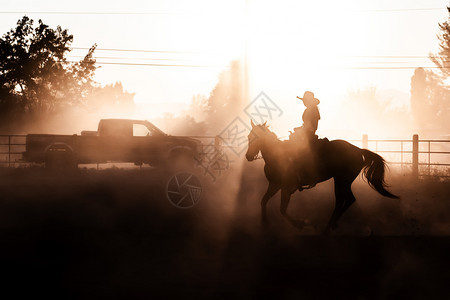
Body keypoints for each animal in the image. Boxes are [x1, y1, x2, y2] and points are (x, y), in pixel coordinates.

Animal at [246, 122, 398, 234]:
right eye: (249, 136)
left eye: (257, 137)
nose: (248, 156)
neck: (276, 155)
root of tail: (358, 150)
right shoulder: (275, 184)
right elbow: (263, 201)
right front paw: (264, 223)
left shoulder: (286, 187)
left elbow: (282, 209)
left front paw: (300, 224)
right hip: (344, 182)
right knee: (348, 200)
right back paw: (332, 224)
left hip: (341, 181)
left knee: (341, 201)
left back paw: (327, 228)